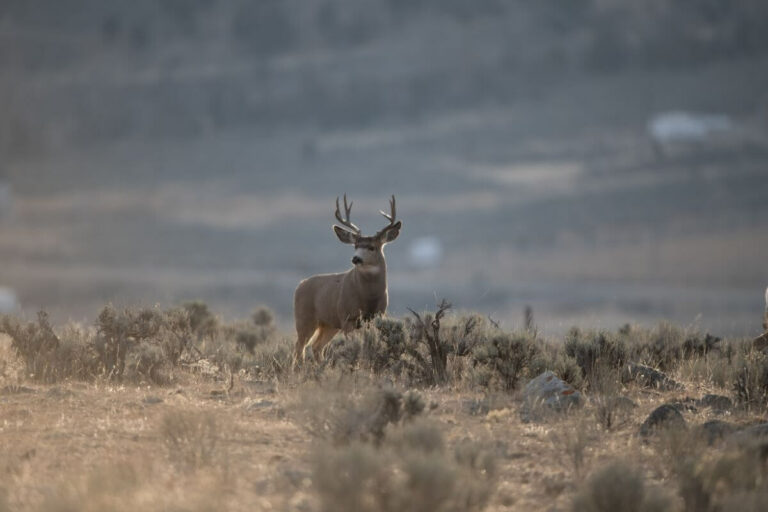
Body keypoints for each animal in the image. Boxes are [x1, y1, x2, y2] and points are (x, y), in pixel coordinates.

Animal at [292, 194, 402, 368]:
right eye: (355, 246)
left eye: (372, 247)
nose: (355, 258)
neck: (368, 298)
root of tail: (300, 285)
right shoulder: (347, 317)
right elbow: (354, 346)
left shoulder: (378, 315)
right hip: (305, 318)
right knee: (299, 347)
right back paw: (299, 369)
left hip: (329, 324)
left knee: (316, 346)